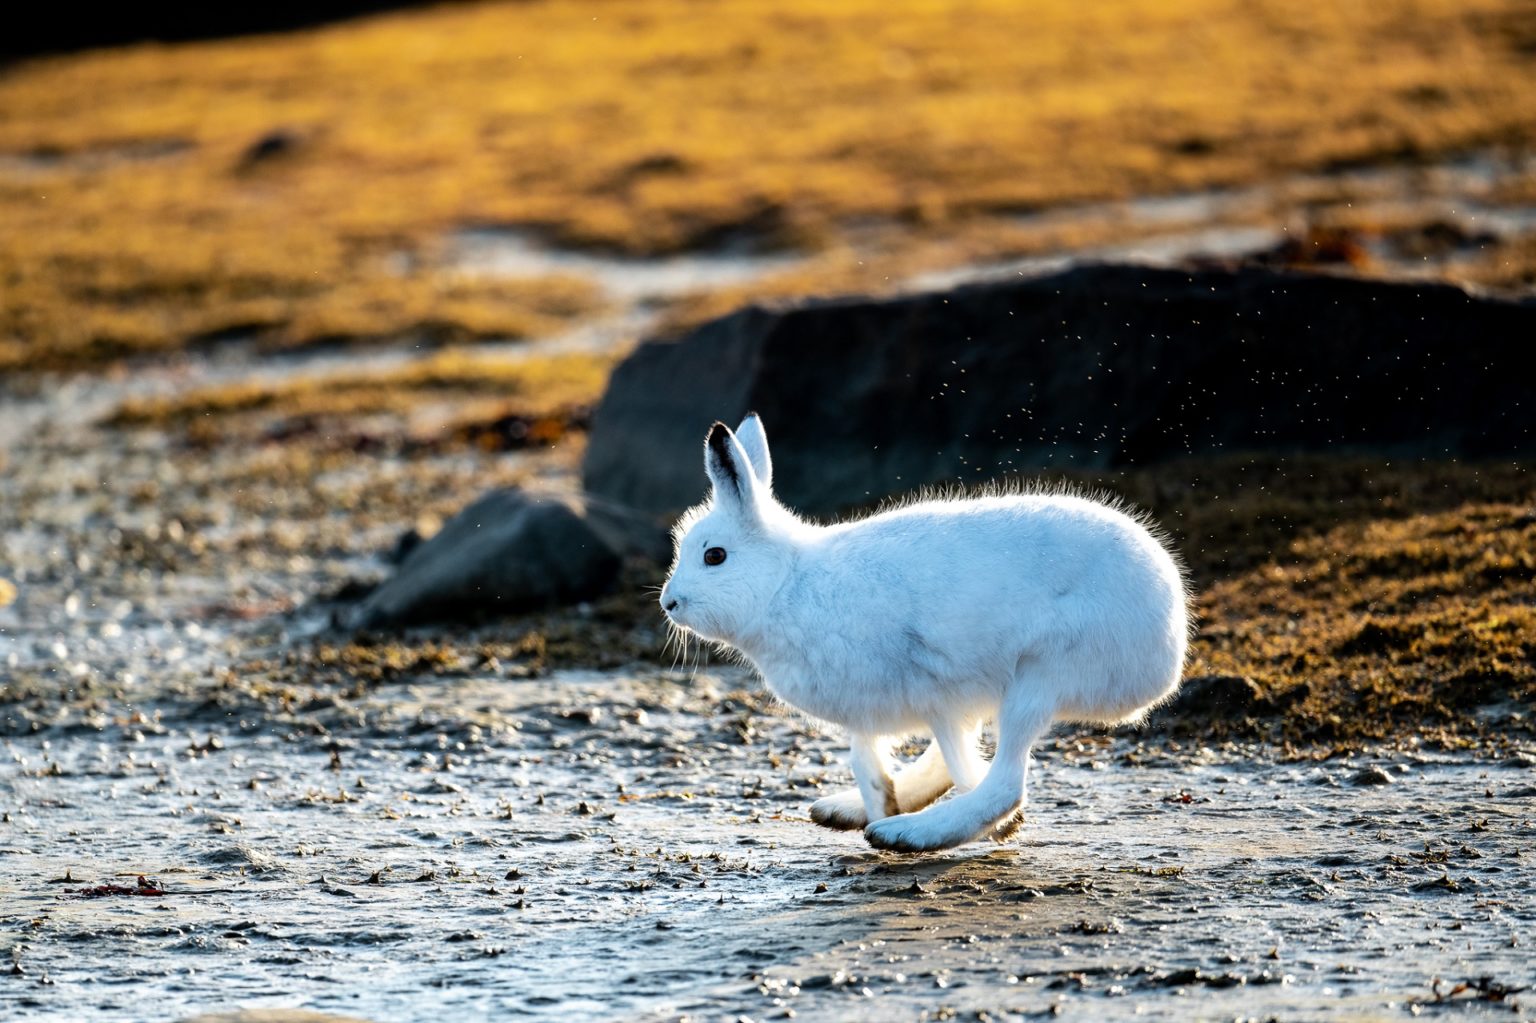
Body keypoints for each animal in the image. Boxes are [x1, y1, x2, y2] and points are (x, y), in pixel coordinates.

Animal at [660, 414, 1190, 852]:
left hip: (1040, 675)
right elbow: (867, 759)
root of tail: (1169, 639)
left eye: (714, 556)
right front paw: (878, 800)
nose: (669, 603)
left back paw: (909, 834)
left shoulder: (931, 690)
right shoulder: (875, 709)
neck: (786, 583)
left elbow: (912, 758)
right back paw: (850, 811)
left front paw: (917, 817)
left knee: (1004, 783)